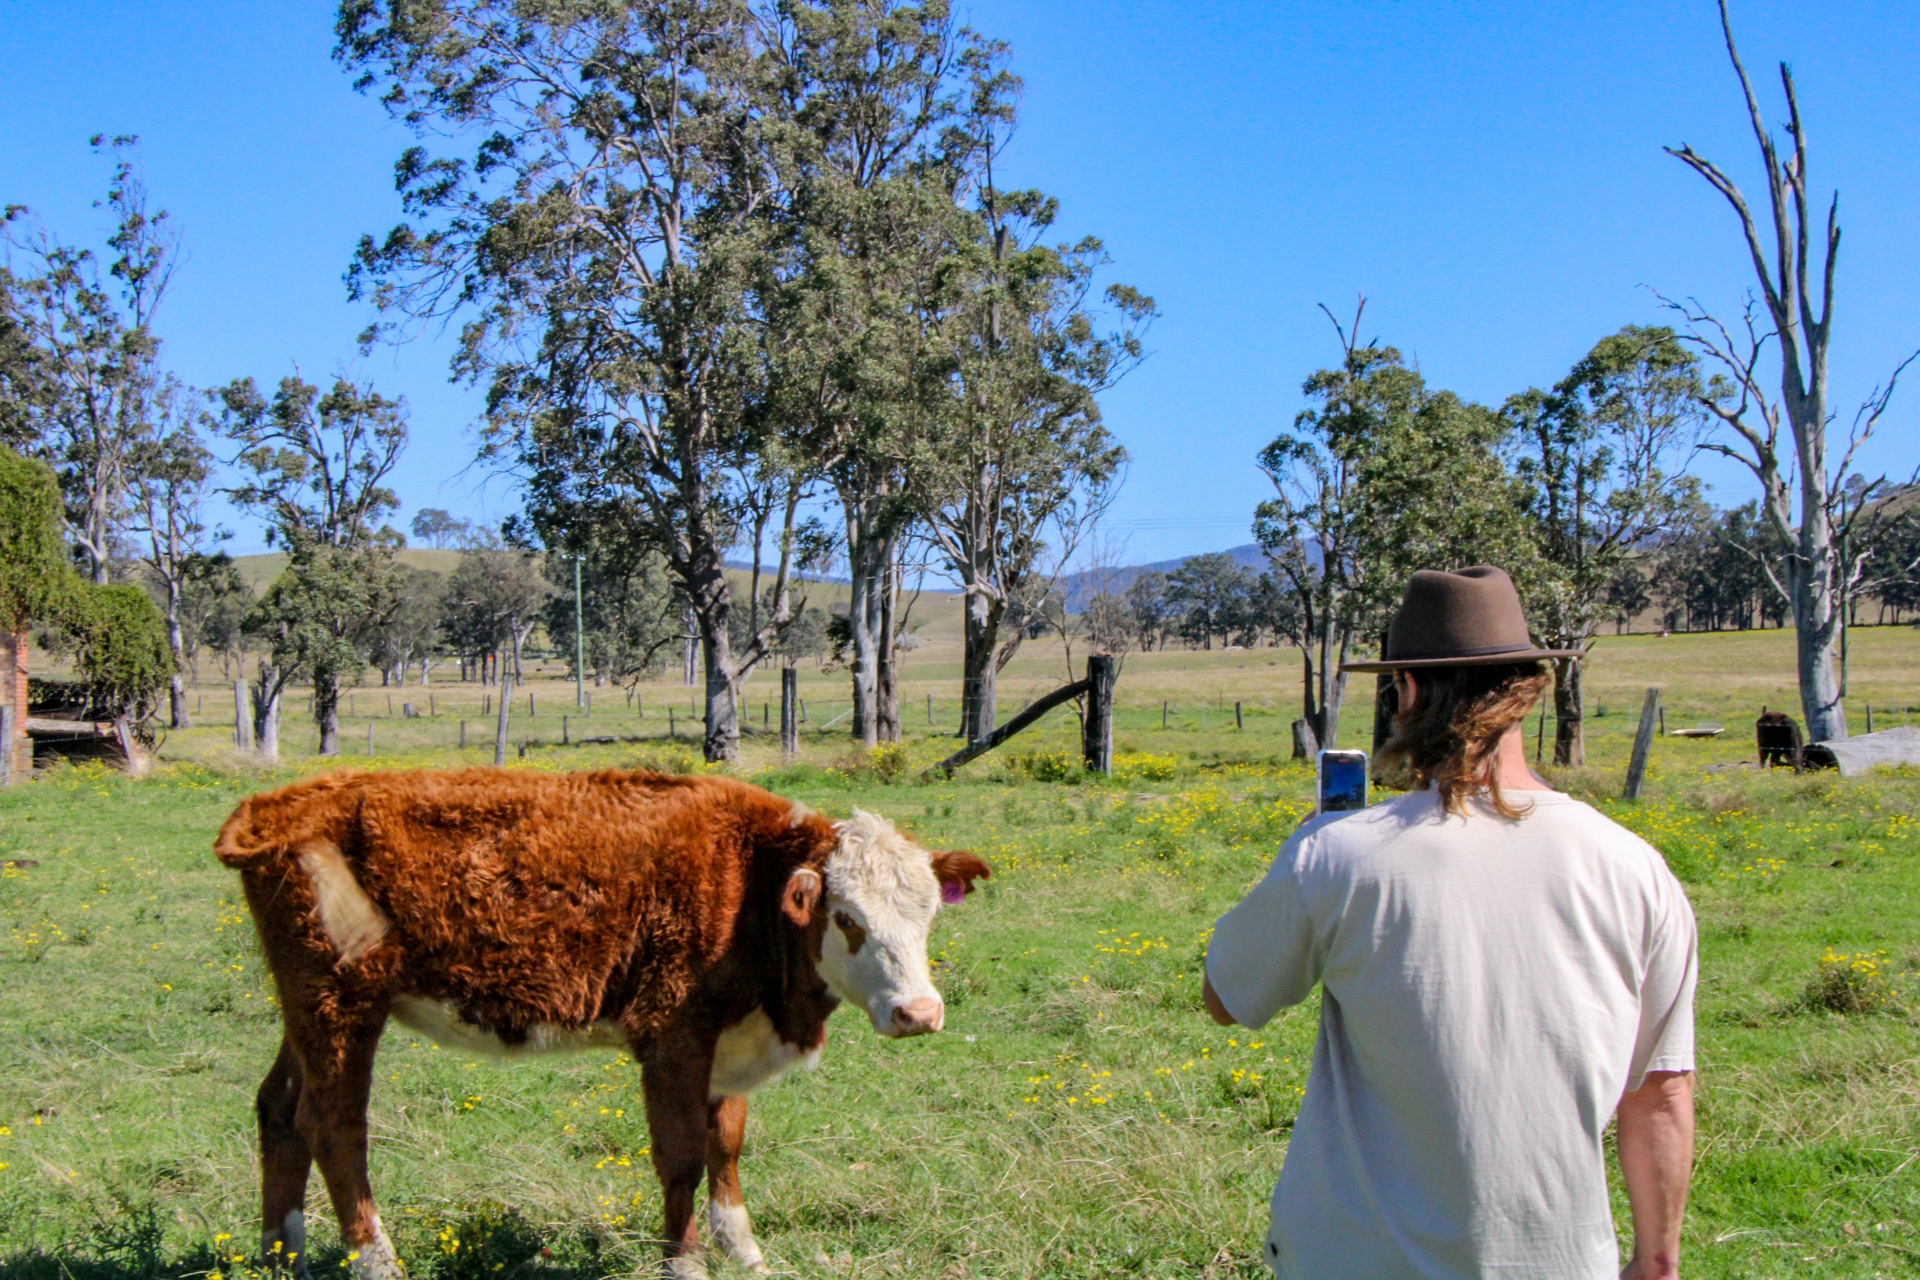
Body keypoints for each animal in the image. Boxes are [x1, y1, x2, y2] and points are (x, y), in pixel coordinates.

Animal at [217, 767, 983, 1274]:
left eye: (930, 913)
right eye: (846, 917)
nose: (919, 1012)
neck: (748, 878)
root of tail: (278, 806)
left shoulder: (729, 1039)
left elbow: (727, 1144)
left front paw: (744, 1249)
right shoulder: (673, 1034)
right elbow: (682, 1156)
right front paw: (686, 1262)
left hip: (306, 1011)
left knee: (280, 1110)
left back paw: (282, 1255)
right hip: (342, 1006)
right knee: (334, 1129)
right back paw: (377, 1261)